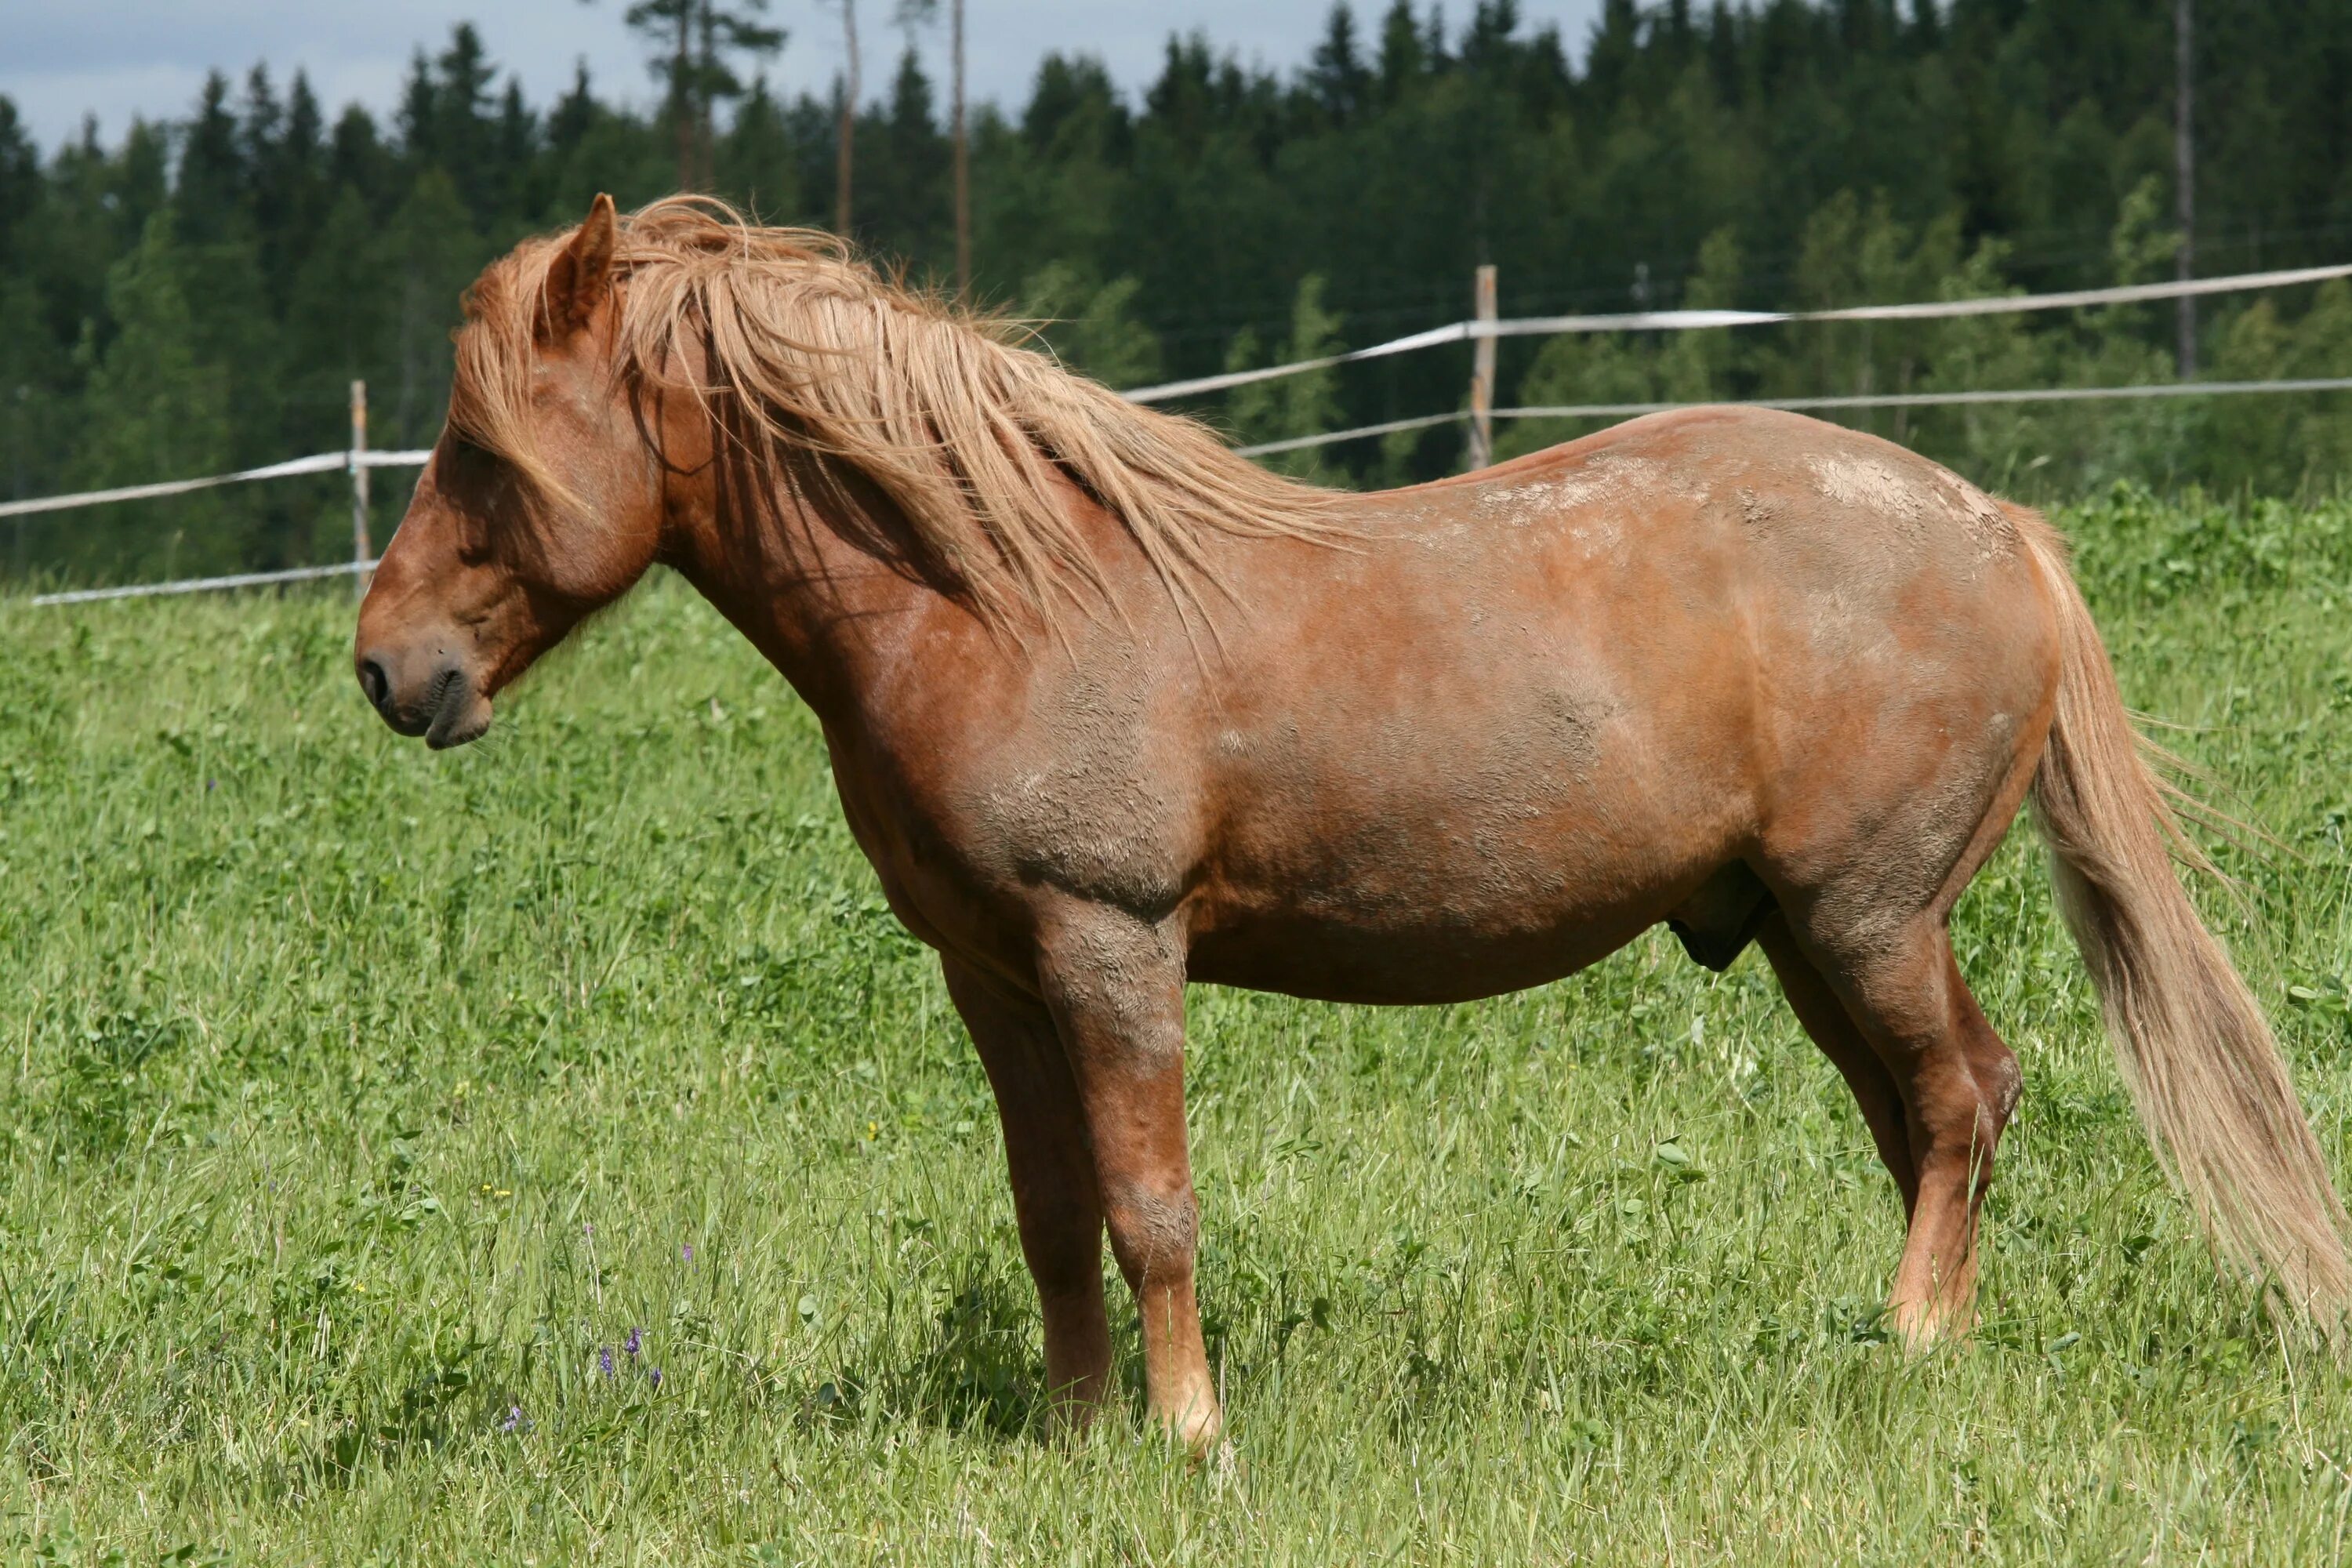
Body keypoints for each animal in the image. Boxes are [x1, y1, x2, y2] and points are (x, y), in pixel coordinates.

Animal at [353, 199, 2352, 1457]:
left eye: (481, 450)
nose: (389, 666)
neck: (1003, 589)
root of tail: (1993, 522)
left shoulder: (1111, 945)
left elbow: (1151, 1206)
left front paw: (1186, 1437)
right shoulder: (996, 975)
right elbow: (1051, 1213)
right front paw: (1075, 1433)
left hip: (1867, 917)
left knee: (1965, 1102)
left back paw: (1915, 1344)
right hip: (1808, 936)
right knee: (1924, 1121)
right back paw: (1904, 1343)